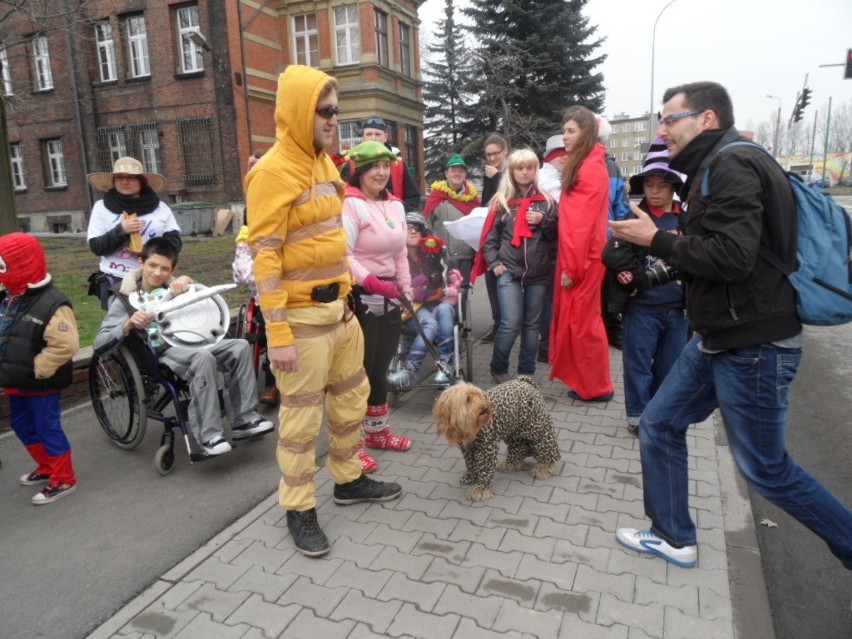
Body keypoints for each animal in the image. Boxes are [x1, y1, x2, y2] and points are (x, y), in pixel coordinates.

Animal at [432, 378, 560, 502]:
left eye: (479, 396)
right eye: (467, 400)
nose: (485, 408)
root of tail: (525, 381)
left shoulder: (487, 449)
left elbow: (485, 471)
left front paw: (480, 491)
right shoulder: (468, 450)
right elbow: (471, 465)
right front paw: (470, 478)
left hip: (537, 428)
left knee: (547, 448)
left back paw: (544, 468)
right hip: (513, 431)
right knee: (519, 447)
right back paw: (511, 463)